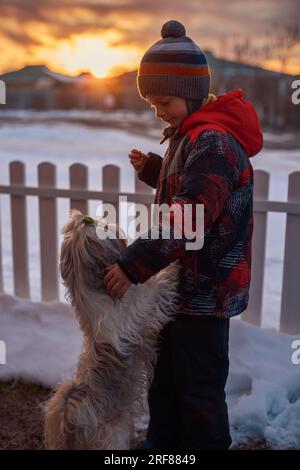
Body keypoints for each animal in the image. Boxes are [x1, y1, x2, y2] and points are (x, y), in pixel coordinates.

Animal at [43, 209, 179, 448]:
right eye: (103, 228)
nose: (106, 220)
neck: (97, 293)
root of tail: (72, 416)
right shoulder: (133, 316)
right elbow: (151, 296)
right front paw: (171, 269)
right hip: (111, 435)